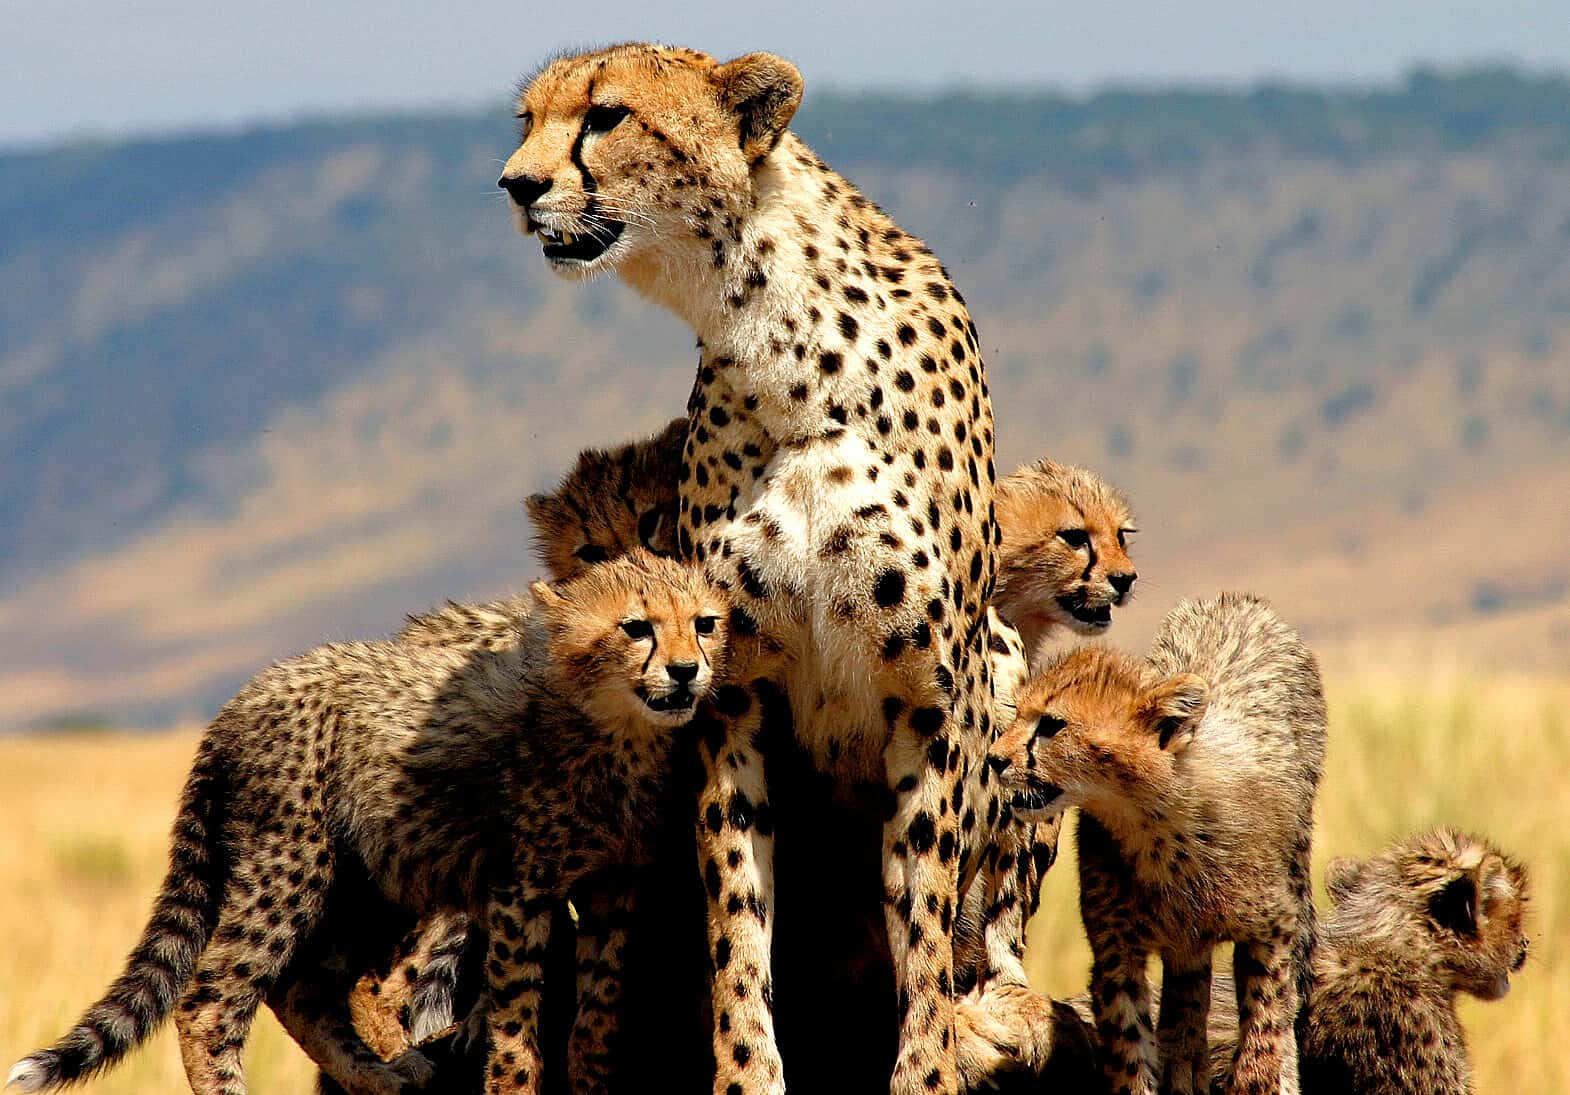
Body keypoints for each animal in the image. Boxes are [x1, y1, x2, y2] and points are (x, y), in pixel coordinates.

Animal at [7, 551, 730, 1095]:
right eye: (636, 627)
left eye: (704, 624)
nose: (686, 670)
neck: (617, 732)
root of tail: (248, 694)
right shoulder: (519, 890)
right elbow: (515, 1023)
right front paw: (512, 1078)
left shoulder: (614, 885)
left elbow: (596, 1016)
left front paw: (590, 1078)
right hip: (294, 868)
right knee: (215, 999)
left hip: (371, 882)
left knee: (307, 987)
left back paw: (382, 1073)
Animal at [498, 44, 1011, 1095]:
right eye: (527, 121)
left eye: (606, 116)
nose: (516, 185)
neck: (782, 346)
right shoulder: (724, 691)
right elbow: (736, 916)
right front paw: (745, 1072)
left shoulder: (930, 694)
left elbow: (924, 912)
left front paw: (929, 1064)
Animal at [988, 592, 1326, 1095]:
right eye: (1016, 715)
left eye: (1051, 725)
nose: (994, 758)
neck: (1155, 821)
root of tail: (1234, 599)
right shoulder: (1116, 951)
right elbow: (1130, 1049)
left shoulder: (1272, 929)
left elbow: (1266, 1026)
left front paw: (1264, 1075)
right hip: (1187, 944)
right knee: (1188, 994)